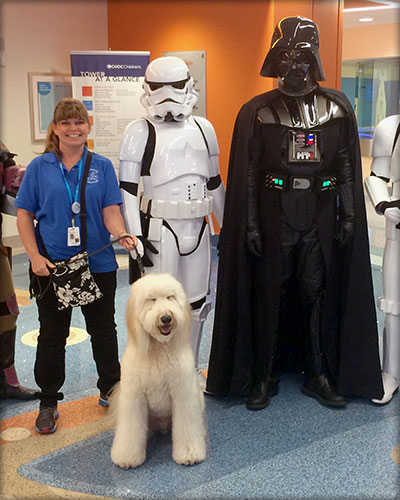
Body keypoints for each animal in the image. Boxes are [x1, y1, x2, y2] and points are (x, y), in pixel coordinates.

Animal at [111, 272, 208, 466]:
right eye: (151, 299)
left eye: (170, 297)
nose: (166, 318)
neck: (159, 350)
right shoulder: (134, 399)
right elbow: (130, 430)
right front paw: (127, 456)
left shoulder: (183, 395)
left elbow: (187, 427)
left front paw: (189, 454)